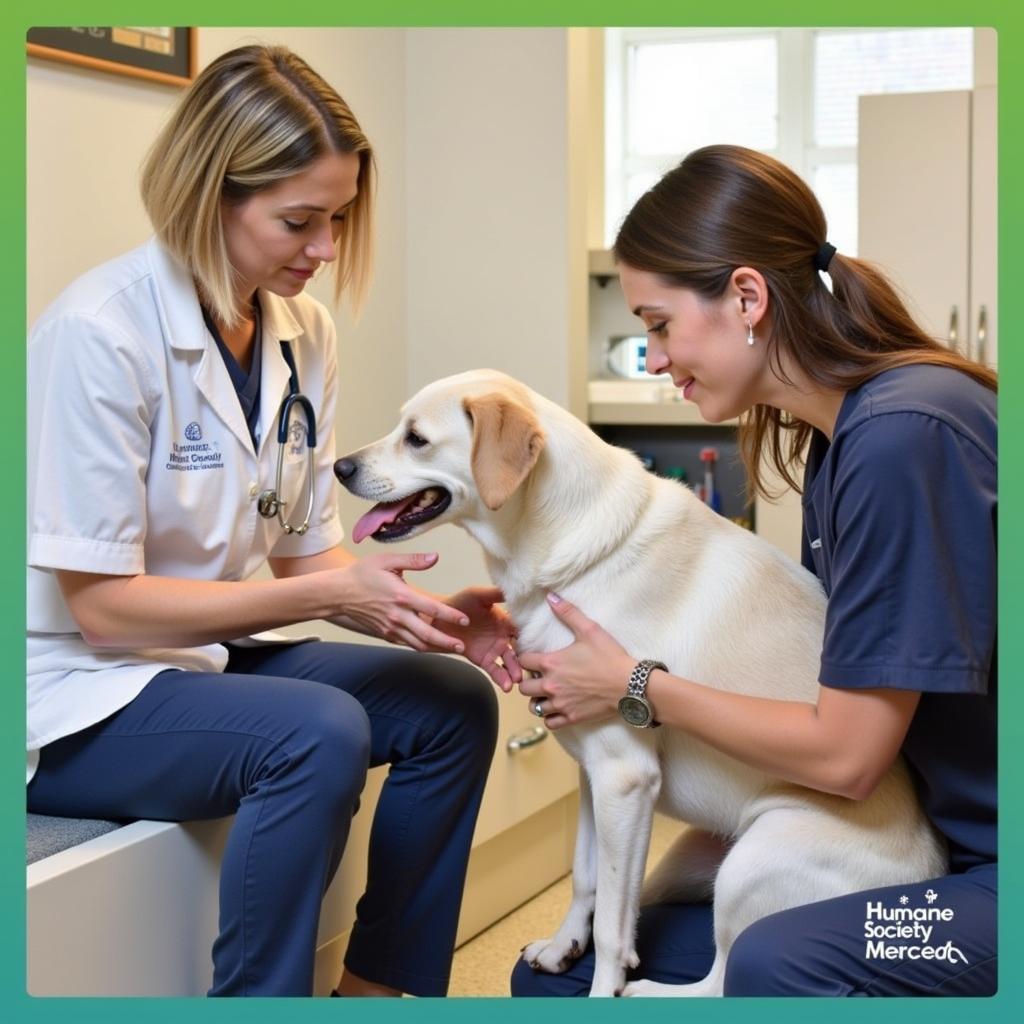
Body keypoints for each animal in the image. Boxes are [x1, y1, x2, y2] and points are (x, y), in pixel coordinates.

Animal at [339, 372, 946, 995]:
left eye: (416, 438)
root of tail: (931, 877)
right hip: (689, 861)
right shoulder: (595, 778)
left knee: (725, 974)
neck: (566, 546)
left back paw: (645, 989)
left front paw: (602, 988)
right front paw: (564, 948)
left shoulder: (624, 777)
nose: (339, 467)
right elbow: (589, 879)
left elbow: (611, 925)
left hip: (750, 863)